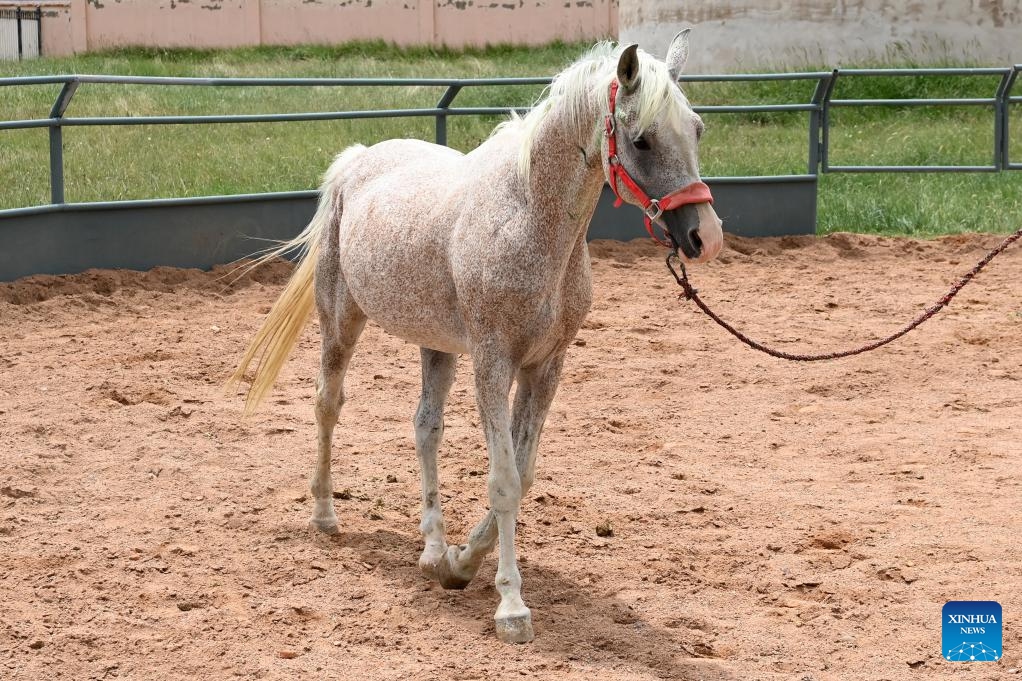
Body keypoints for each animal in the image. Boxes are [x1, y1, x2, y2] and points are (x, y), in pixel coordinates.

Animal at [227, 35, 723, 642]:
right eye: (642, 139)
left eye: (696, 129)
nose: (704, 237)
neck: (526, 218)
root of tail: (357, 159)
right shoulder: (493, 361)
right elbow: (504, 479)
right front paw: (511, 606)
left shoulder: (545, 366)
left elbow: (523, 473)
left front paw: (462, 563)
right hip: (341, 321)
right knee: (327, 404)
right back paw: (324, 514)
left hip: (437, 347)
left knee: (425, 429)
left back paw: (431, 550)